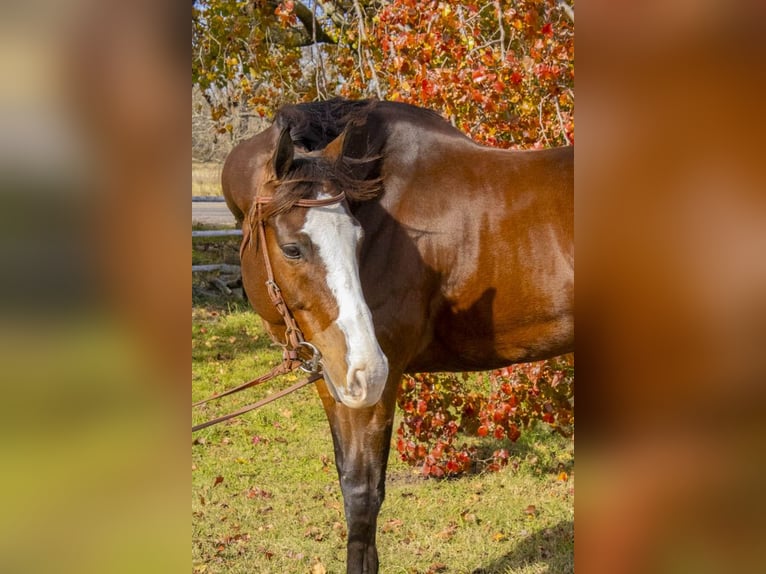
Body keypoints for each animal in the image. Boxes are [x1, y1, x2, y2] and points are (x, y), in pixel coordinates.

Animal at [221, 98, 574, 573]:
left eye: (358, 239)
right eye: (293, 248)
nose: (367, 368)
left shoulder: (374, 391)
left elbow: (363, 496)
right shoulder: (334, 378)